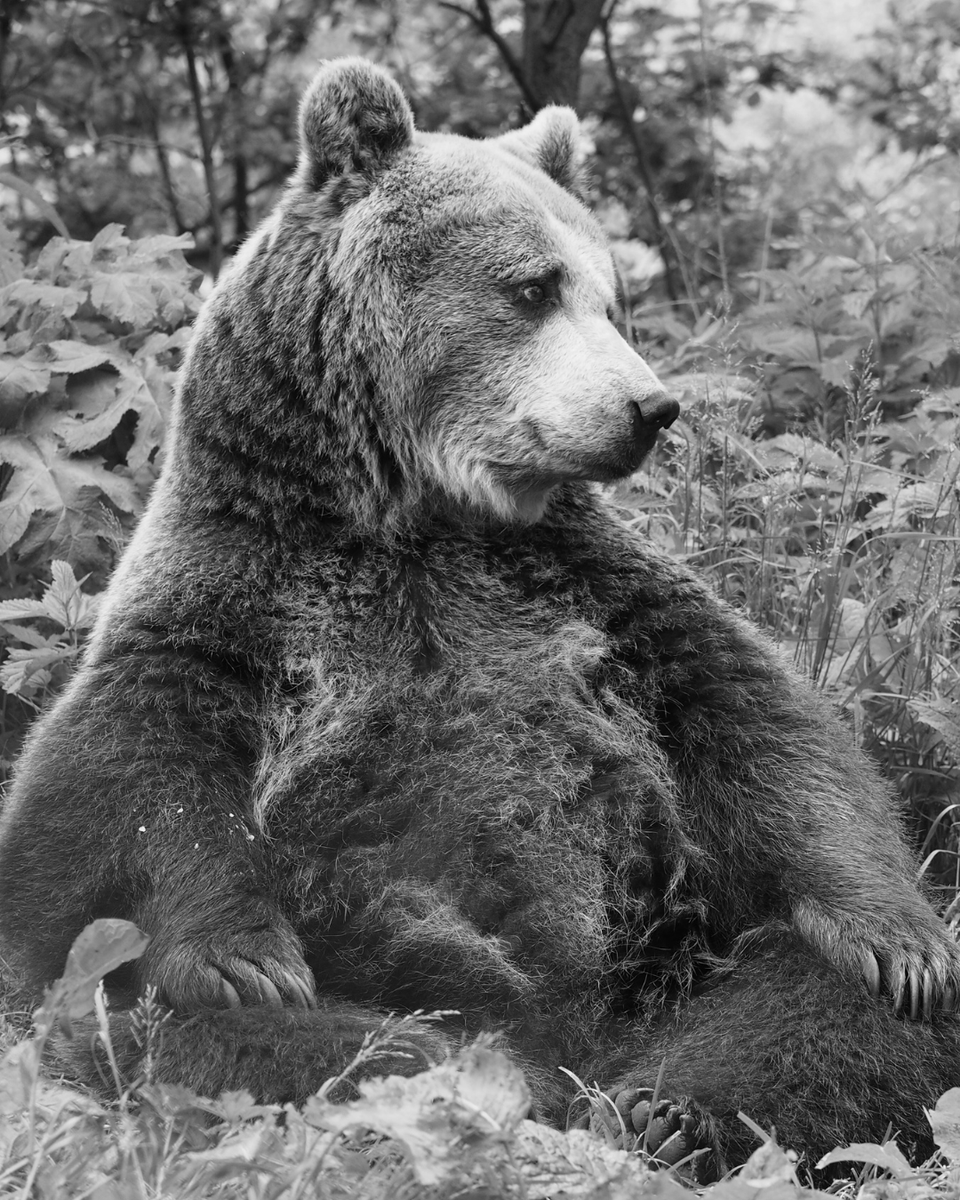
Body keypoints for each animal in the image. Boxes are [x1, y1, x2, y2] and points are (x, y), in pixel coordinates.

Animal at [2, 56, 960, 1180]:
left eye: (613, 298)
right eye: (534, 287)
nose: (650, 408)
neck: (418, 511)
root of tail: (586, 1039)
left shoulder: (596, 603)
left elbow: (766, 732)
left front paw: (897, 944)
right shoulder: (234, 600)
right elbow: (128, 785)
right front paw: (245, 961)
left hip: (685, 960)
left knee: (818, 1009)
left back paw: (673, 1110)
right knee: (163, 1033)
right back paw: (466, 1076)